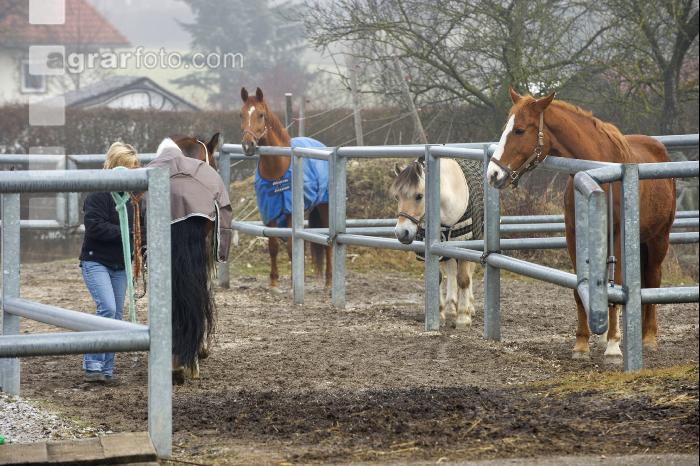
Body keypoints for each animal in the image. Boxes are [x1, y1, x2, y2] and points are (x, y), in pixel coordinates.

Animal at [239, 86, 331, 290]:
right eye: (241, 114)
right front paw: (274, 281)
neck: (277, 168)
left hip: (325, 206)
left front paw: (295, 280)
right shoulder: (271, 211)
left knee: (328, 241)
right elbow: (273, 245)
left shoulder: (289, 212)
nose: (248, 145)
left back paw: (329, 280)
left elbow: (291, 246)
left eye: (261, 114)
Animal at [391, 157, 484, 329]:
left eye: (419, 196)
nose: (402, 233)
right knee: (451, 272)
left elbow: (463, 279)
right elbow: (438, 278)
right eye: (397, 197)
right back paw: (451, 307)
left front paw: (463, 318)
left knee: (467, 273)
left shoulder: (465, 244)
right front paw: (440, 314)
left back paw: (469, 306)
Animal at [486, 87, 675, 362]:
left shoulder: (617, 236)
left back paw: (648, 337)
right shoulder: (573, 234)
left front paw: (613, 346)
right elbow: (579, 288)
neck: (598, 169)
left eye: (519, 130)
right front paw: (581, 344)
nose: (493, 174)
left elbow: (617, 285)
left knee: (653, 278)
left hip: (658, 238)